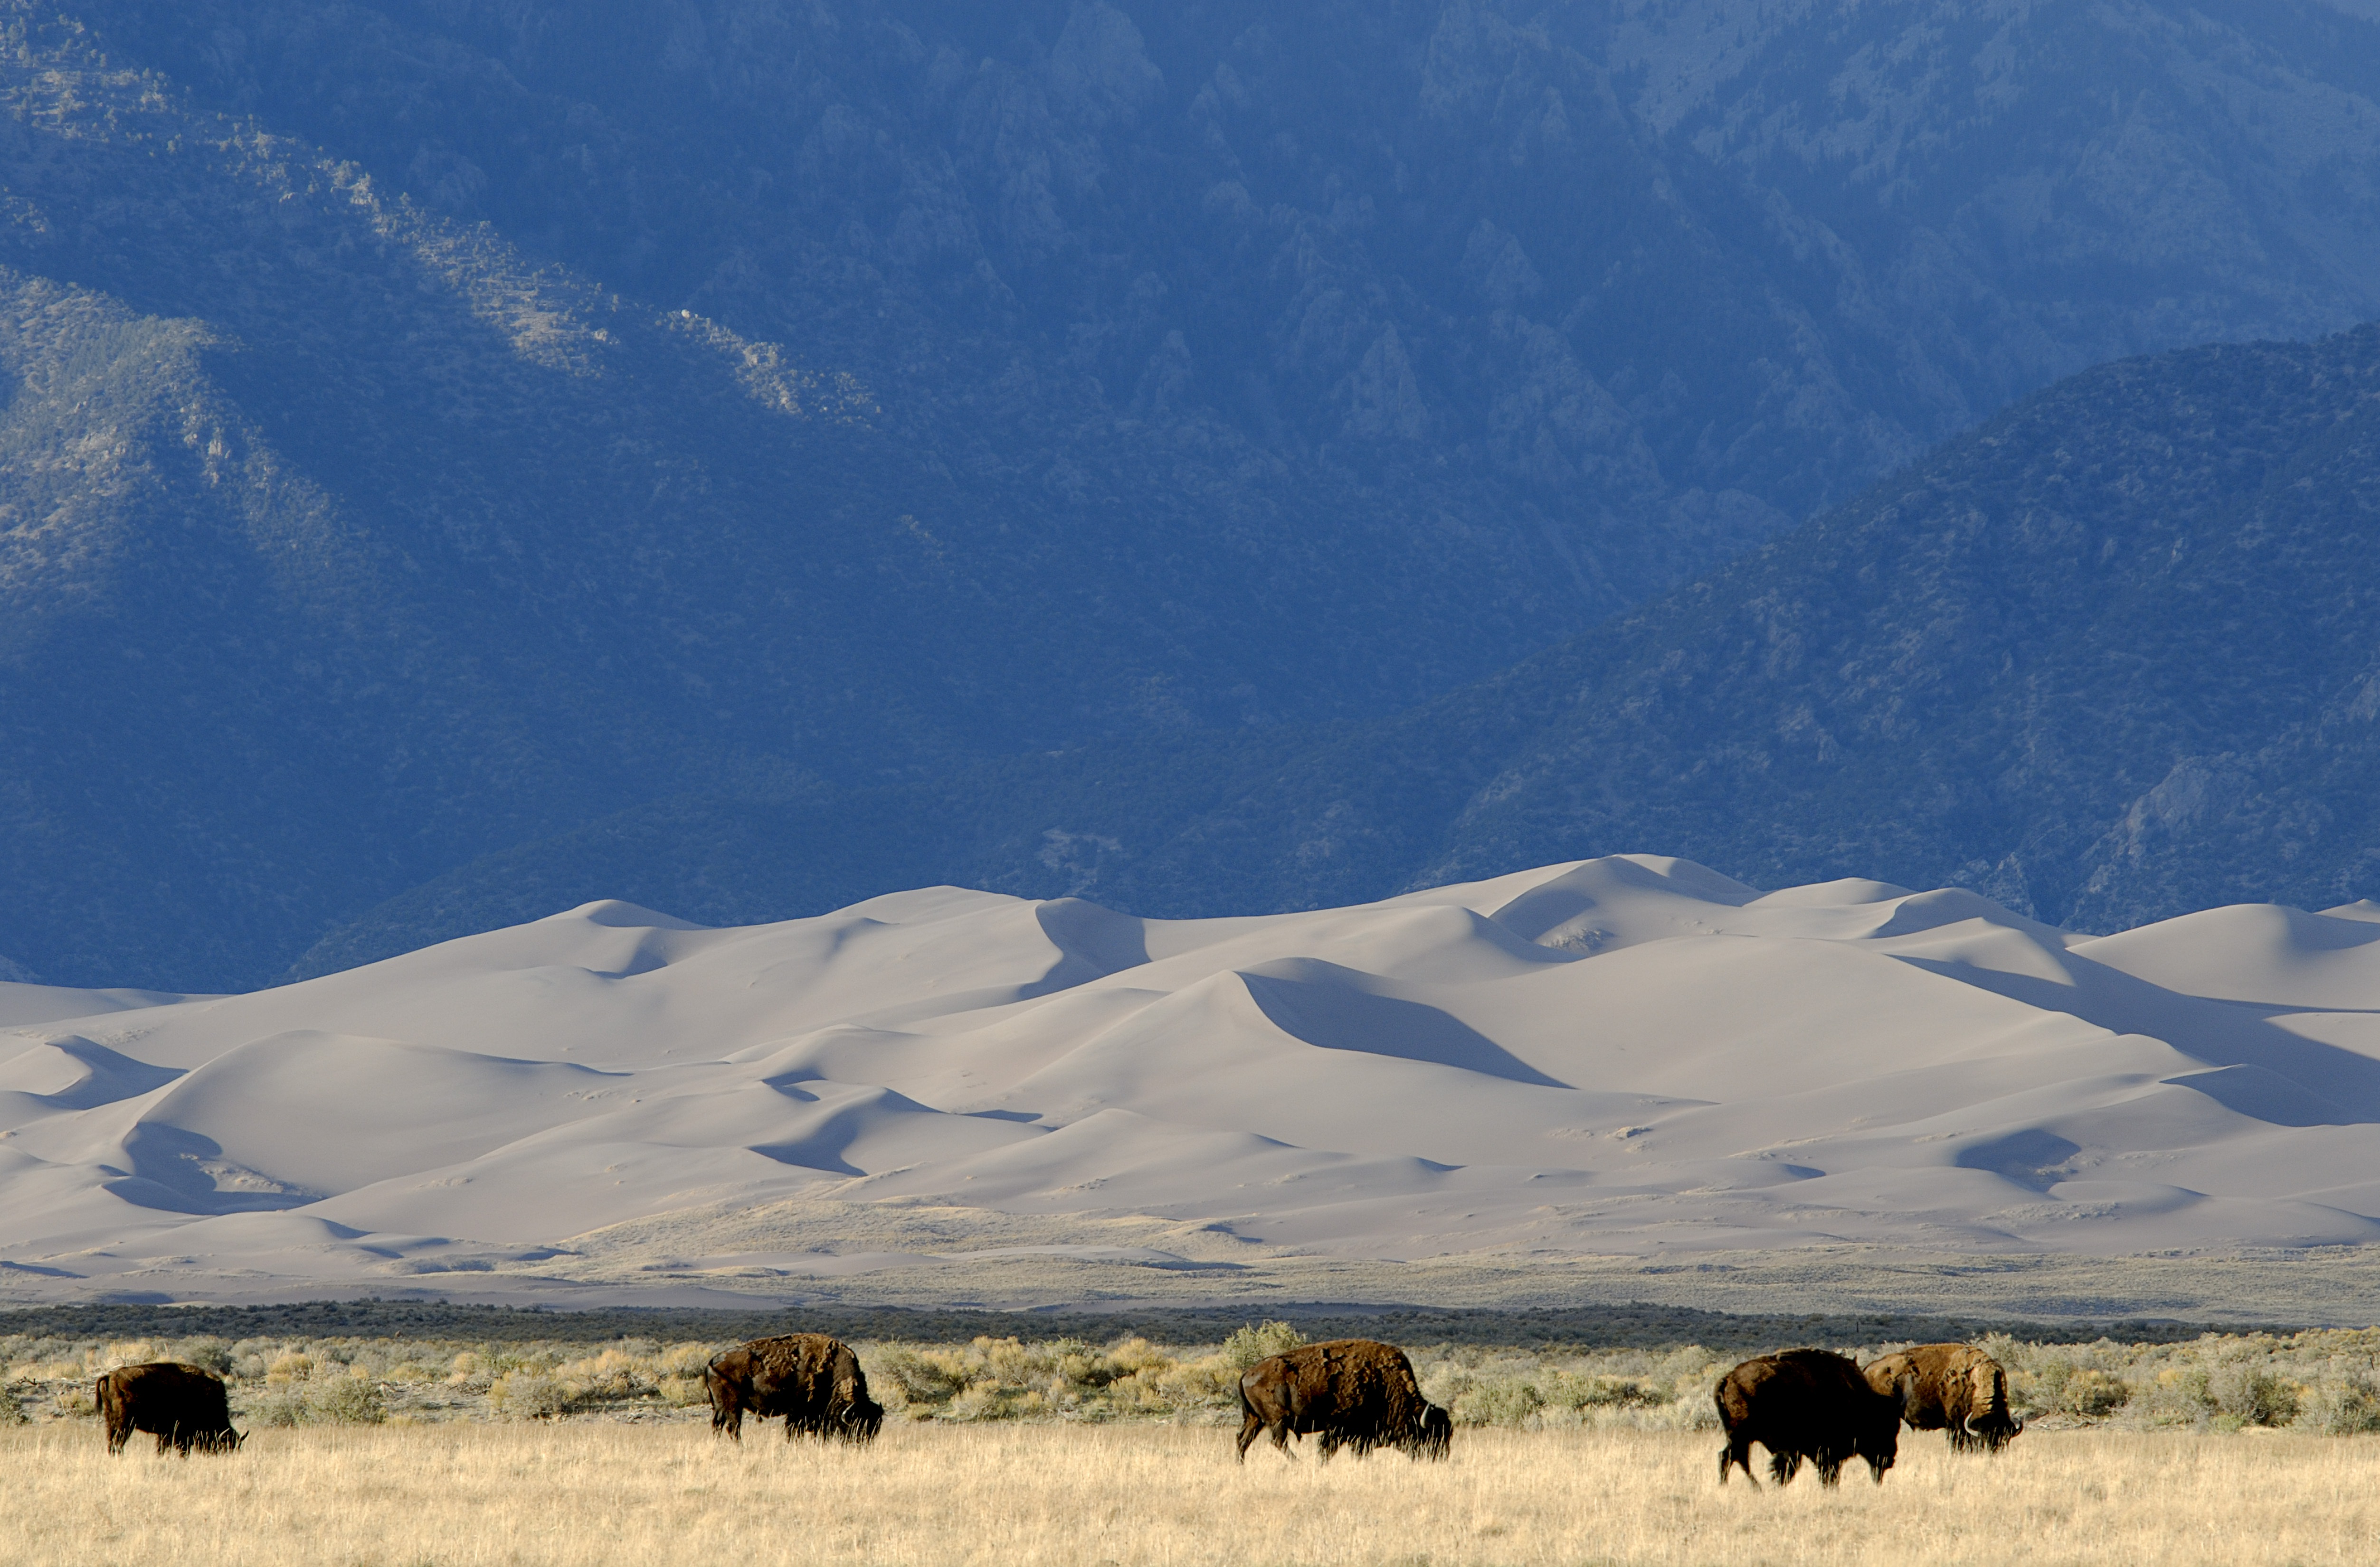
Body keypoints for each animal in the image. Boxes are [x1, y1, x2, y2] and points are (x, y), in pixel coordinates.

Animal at [95, 1360, 241, 1455]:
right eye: (226, 1443)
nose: (220, 1455)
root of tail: (110, 1376)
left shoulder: (165, 1434)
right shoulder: (180, 1435)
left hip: (111, 1423)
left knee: (111, 1442)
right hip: (125, 1425)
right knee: (118, 1443)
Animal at [714, 1341, 895, 1445]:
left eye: (875, 1429)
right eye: (857, 1426)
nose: (862, 1445)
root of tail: (713, 1361)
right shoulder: (798, 1414)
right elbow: (794, 1433)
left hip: (721, 1408)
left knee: (718, 1426)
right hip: (733, 1407)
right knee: (733, 1428)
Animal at [1237, 1341, 1456, 1464]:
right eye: (1431, 1436)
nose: (1441, 1459)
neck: (1383, 1383)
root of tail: (1248, 1373)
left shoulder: (1362, 1438)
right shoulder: (1338, 1430)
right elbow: (1326, 1451)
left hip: (1255, 1420)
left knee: (1243, 1440)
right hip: (1277, 1421)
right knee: (1278, 1441)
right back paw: (1298, 1464)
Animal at [1713, 1341, 1913, 1493]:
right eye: (1887, 1426)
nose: (1890, 1458)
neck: (1860, 1400)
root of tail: (1728, 1378)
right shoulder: (1824, 1452)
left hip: (1739, 1437)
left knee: (1732, 1458)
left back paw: (1744, 1487)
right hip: (1743, 1436)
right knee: (1733, 1458)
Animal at [1856, 1341, 2028, 1455]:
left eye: (2006, 1440)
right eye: (1985, 1440)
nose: (1996, 1454)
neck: (1974, 1380)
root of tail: (1869, 1369)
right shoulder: (1957, 1426)